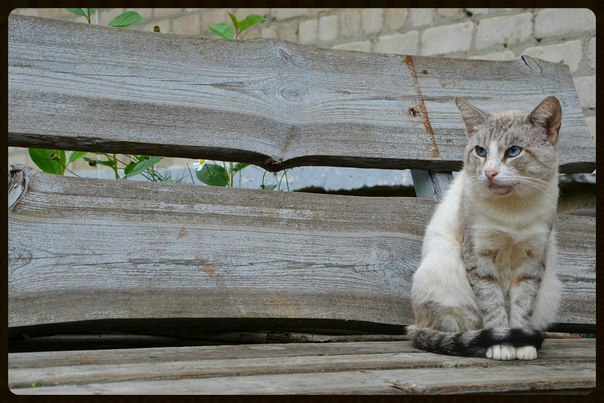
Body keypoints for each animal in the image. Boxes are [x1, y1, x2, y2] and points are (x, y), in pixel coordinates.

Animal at [408, 96, 564, 362]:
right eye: (481, 151)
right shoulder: (479, 258)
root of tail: (416, 322)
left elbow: (522, 306)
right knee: (456, 330)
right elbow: (493, 306)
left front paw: (522, 345)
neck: (513, 212)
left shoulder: (532, 261)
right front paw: (502, 345)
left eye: (513, 151)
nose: (489, 172)